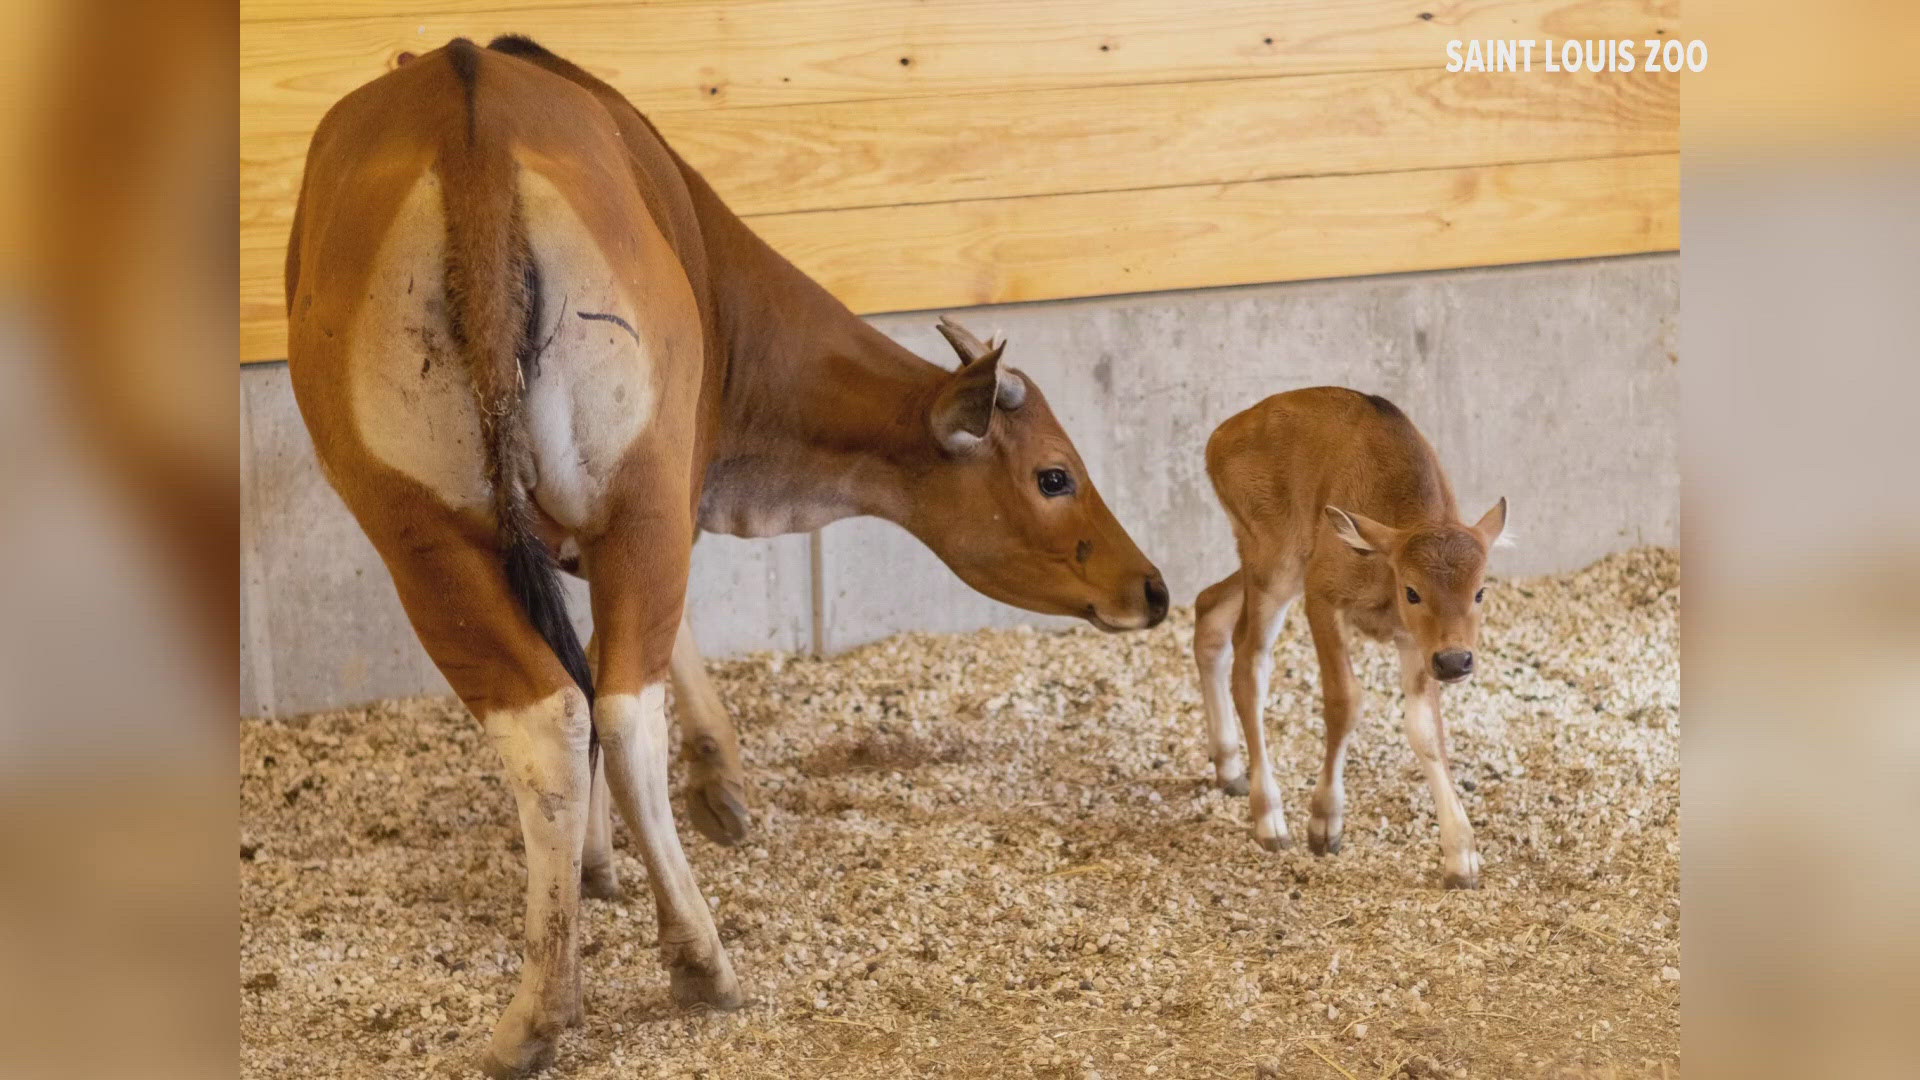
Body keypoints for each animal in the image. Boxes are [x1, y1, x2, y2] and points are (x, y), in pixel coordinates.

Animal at [284, 36, 1165, 1077]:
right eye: (1055, 475)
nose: (1151, 588)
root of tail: (467, 117)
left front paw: (598, 861)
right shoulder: (672, 487)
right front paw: (713, 789)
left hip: (421, 535)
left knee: (552, 715)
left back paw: (539, 1006)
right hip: (634, 500)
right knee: (618, 708)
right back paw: (697, 959)